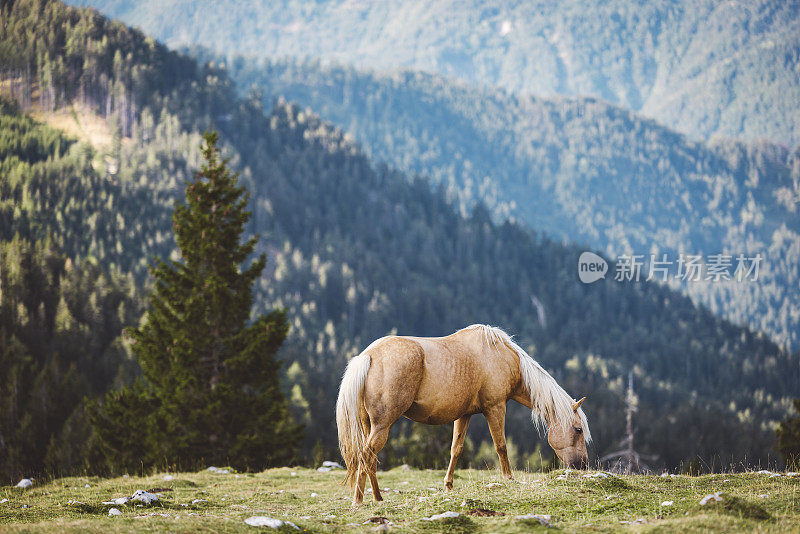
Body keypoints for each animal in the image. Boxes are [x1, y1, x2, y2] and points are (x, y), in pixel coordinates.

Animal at [334, 324, 592, 504]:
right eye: (578, 430)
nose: (583, 466)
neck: (504, 357)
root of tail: (368, 355)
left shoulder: (464, 415)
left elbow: (455, 449)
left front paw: (448, 485)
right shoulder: (495, 408)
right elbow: (501, 446)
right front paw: (508, 479)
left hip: (369, 425)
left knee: (366, 457)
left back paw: (370, 498)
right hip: (383, 425)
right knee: (367, 455)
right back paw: (366, 499)